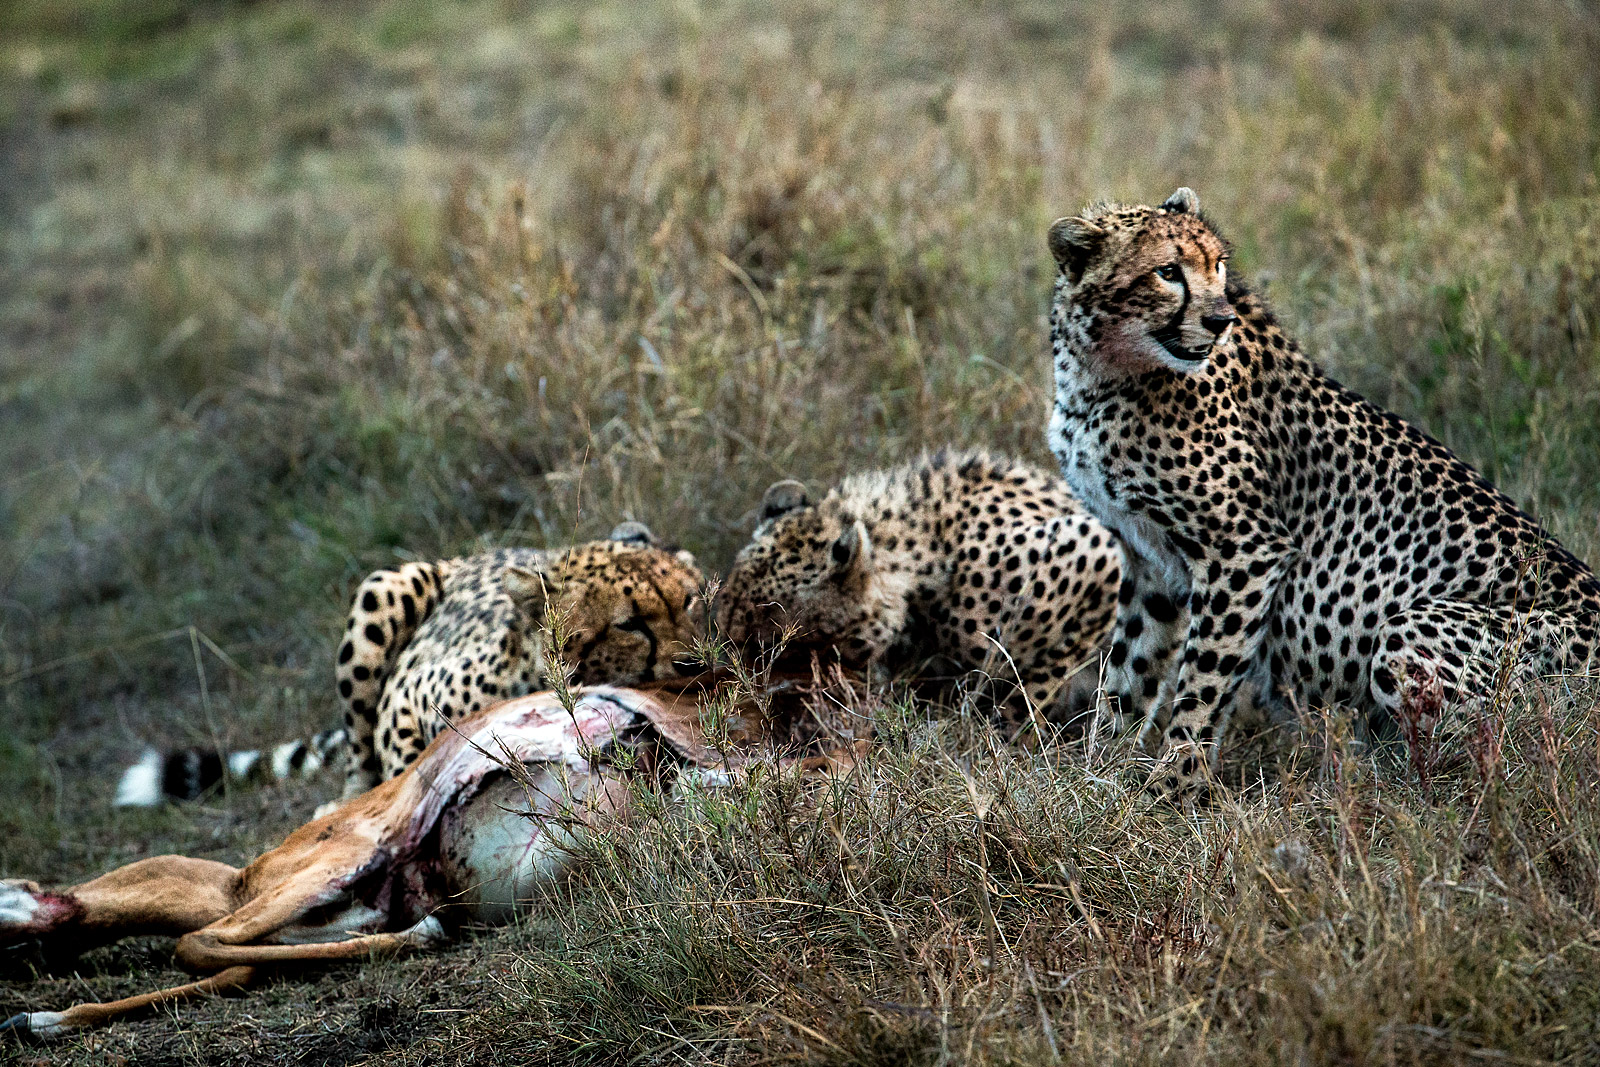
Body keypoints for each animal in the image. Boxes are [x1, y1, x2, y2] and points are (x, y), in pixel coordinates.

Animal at [116, 521, 704, 806]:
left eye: (692, 601)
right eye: (630, 624)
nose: (692, 664)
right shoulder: (405, 696)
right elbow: (401, 752)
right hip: (386, 586)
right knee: (359, 756)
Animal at [1043, 187, 1593, 796]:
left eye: (1218, 266)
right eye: (1167, 272)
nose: (1218, 319)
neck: (1103, 371)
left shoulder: (1246, 550)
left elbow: (1204, 679)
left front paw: (1175, 782)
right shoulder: (1152, 561)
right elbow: (1129, 673)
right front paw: (1098, 772)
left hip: (1409, 633)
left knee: (1494, 745)